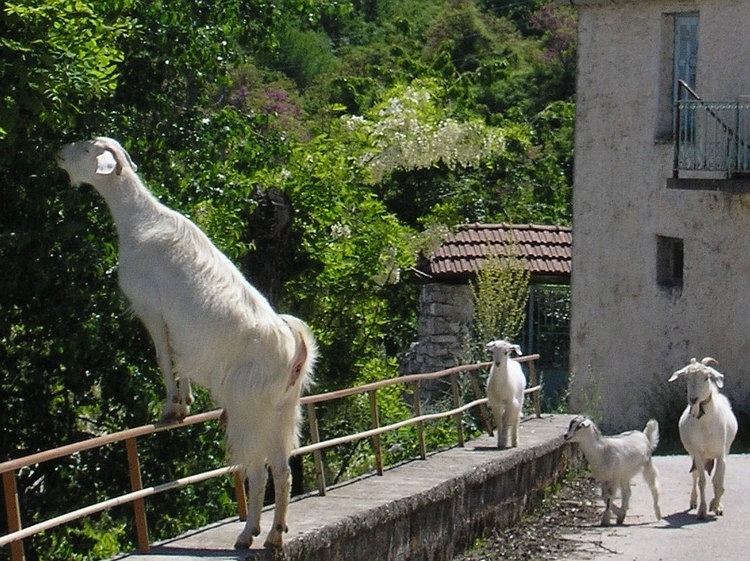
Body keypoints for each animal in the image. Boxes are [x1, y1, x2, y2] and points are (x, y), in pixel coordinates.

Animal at [55, 136, 318, 548]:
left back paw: (248, 534)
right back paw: (274, 535)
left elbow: (164, 356)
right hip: (283, 411)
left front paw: (171, 408)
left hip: (249, 409)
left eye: (86, 149)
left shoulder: (150, 308)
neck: (140, 221)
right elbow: (179, 358)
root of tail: (296, 349)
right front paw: (187, 400)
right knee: (282, 469)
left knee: (257, 470)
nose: (59, 153)